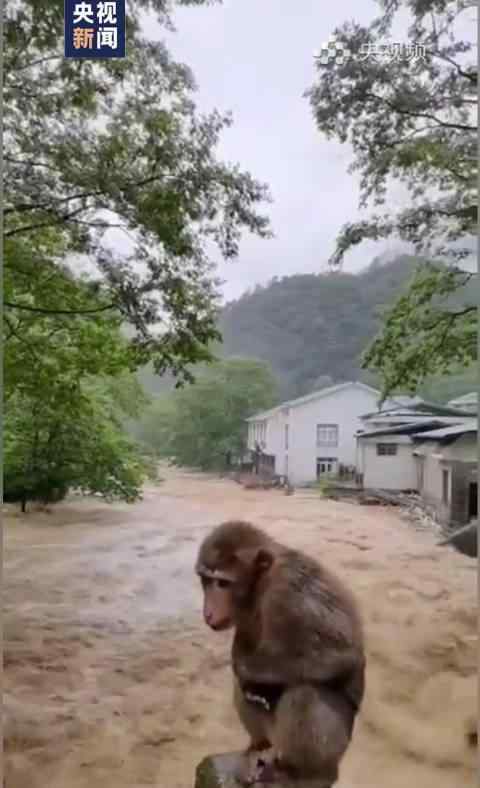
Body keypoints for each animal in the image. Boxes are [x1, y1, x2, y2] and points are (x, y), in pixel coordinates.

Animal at [194, 520, 364, 784]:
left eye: (222, 583)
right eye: (205, 580)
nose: (208, 612)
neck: (261, 585)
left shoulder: (290, 593)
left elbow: (341, 654)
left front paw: (246, 668)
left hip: (337, 745)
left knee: (306, 692)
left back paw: (298, 773)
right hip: (273, 735)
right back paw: (258, 746)